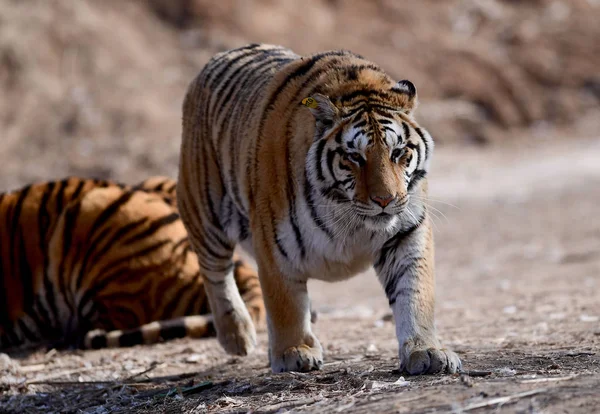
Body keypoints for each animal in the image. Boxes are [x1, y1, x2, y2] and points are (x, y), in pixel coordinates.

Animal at [176, 42, 462, 376]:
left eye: (398, 152)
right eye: (354, 157)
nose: (385, 200)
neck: (347, 214)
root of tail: (218, 57)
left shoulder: (407, 233)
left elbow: (415, 293)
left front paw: (426, 350)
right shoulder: (274, 246)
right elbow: (285, 303)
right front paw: (294, 351)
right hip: (204, 211)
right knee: (214, 272)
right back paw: (238, 336)